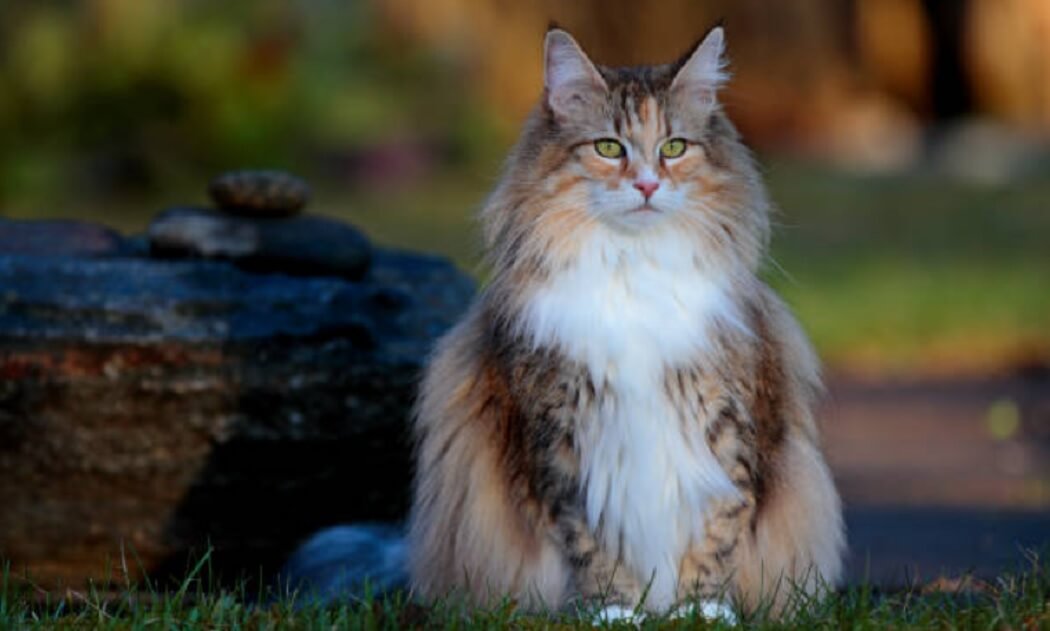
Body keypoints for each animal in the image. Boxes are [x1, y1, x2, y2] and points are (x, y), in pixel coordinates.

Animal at [403, 25, 844, 621]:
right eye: (609, 148)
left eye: (673, 147)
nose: (648, 186)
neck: (633, 270)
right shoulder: (562, 439)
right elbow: (592, 545)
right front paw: (616, 613)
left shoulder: (725, 427)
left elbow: (717, 532)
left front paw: (700, 611)